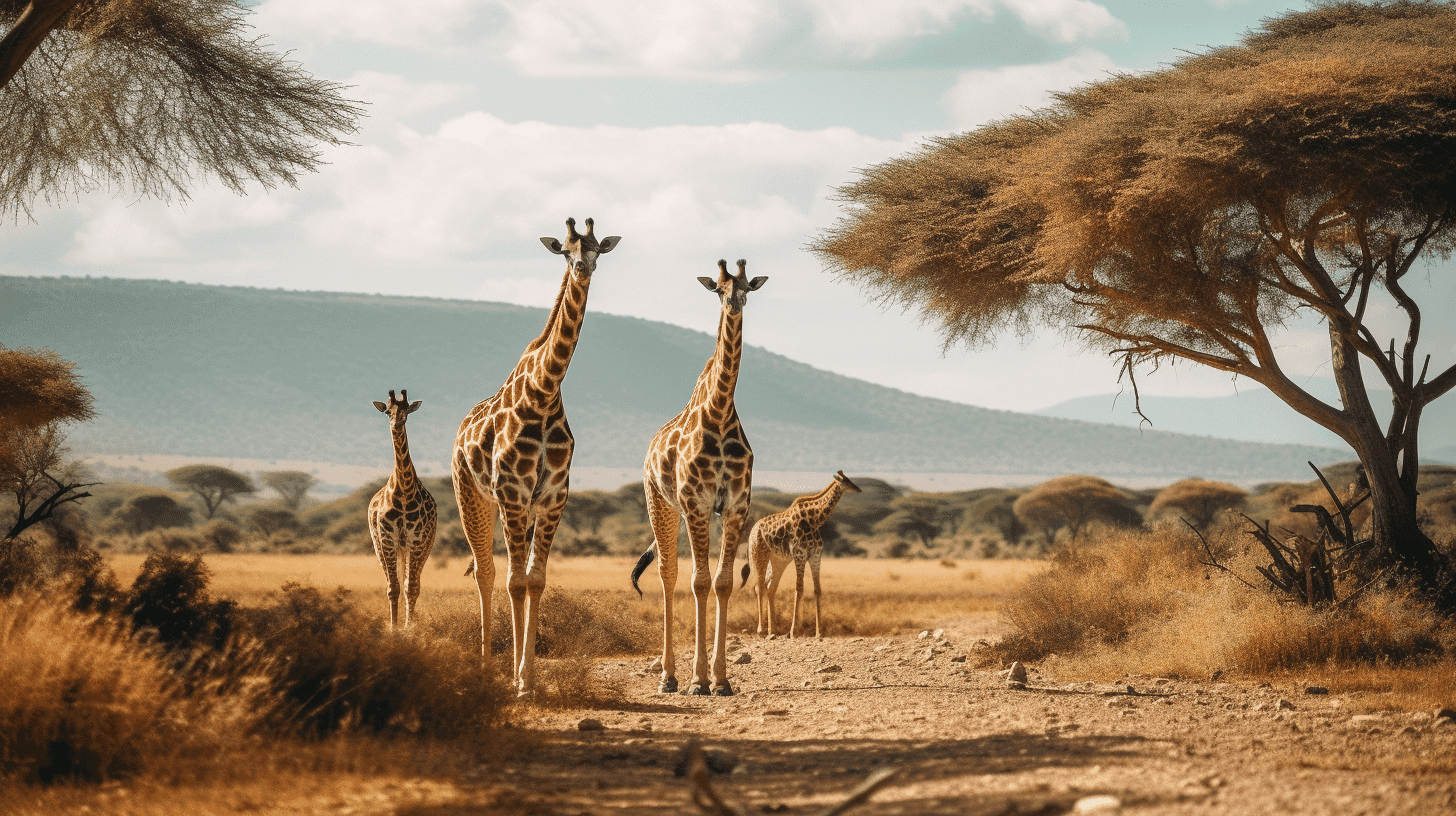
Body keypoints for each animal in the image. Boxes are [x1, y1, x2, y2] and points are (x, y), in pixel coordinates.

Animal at [366, 393, 433, 626]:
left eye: (406, 411)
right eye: (388, 411)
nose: (397, 423)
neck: (404, 491)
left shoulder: (416, 539)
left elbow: (410, 587)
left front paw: (408, 627)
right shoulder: (388, 539)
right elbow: (392, 588)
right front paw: (394, 628)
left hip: (423, 546)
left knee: (413, 583)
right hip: (379, 545)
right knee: (395, 583)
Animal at [451, 217, 617, 693]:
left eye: (597, 248)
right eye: (564, 250)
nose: (583, 268)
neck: (543, 395)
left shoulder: (552, 498)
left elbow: (536, 581)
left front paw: (529, 675)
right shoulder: (511, 494)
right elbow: (514, 582)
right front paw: (519, 680)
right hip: (471, 496)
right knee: (486, 572)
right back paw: (487, 664)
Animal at [631, 256, 768, 693]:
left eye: (747, 287)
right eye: (719, 289)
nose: (734, 304)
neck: (721, 413)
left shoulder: (737, 505)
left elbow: (722, 583)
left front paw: (721, 680)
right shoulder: (696, 503)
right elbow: (699, 582)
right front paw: (698, 680)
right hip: (659, 504)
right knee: (668, 574)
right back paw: (668, 677)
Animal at [745, 472, 856, 638]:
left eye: (850, 480)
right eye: (846, 481)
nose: (857, 489)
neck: (815, 521)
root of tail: (753, 529)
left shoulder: (816, 555)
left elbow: (817, 590)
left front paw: (819, 632)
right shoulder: (799, 554)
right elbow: (799, 589)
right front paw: (793, 631)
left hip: (778, 560)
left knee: (770, 588)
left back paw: (773, 630)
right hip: (758, 554)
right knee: (760, 586)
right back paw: (762, 630)